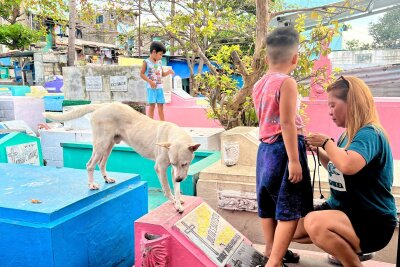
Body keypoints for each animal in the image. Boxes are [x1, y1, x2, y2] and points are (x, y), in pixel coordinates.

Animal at [45, 103, 200, 214]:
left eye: (185, 164)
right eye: (175, 163)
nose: (179, 179)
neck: (174, 134)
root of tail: (103, 105)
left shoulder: (174, 171)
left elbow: (176, 189)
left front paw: (178, 201)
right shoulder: (161, 167)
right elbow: (167, 189)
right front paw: (174, 203)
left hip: (109, 145)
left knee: (101, 163)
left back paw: (107, 179)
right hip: (101, 144)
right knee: (90, 165)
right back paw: (92, 184)